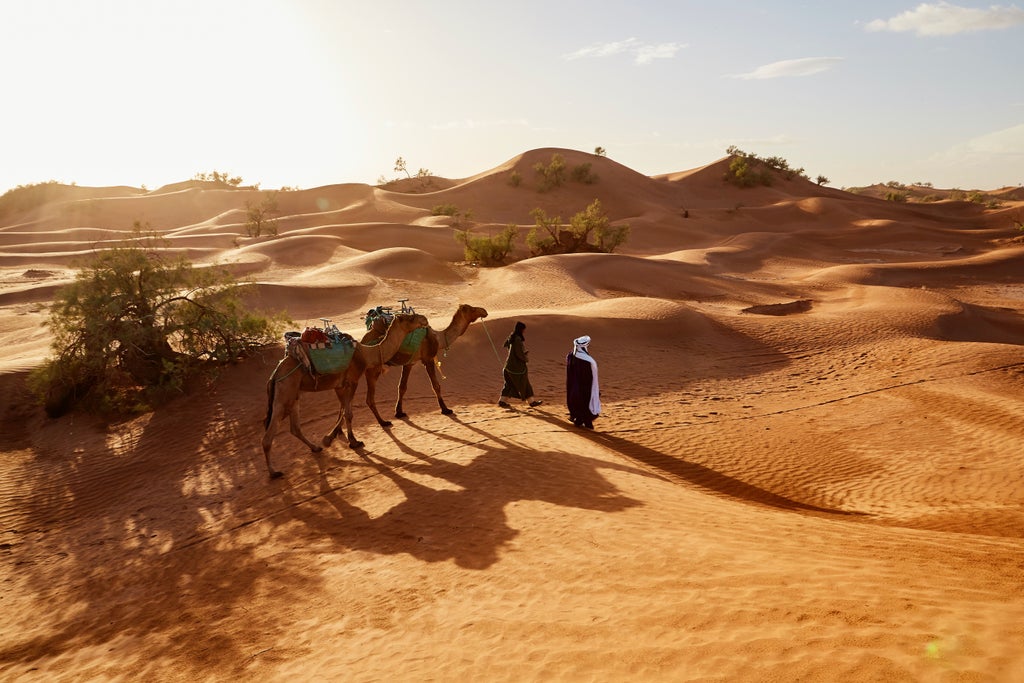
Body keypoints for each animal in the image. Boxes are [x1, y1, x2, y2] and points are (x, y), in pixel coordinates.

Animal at [264, 313, 428, 479]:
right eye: (410, 318)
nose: (424, 319)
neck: (365, 354)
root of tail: (275, 374)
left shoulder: (340, 385)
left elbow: (343, 410)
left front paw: (331, 438)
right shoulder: (352, 380)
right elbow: (349, 413)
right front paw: (354, 442)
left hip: (294, 395)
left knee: (295, 427)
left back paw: (315, 448)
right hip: (284, 393)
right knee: (269, 435)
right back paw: (274, 472)